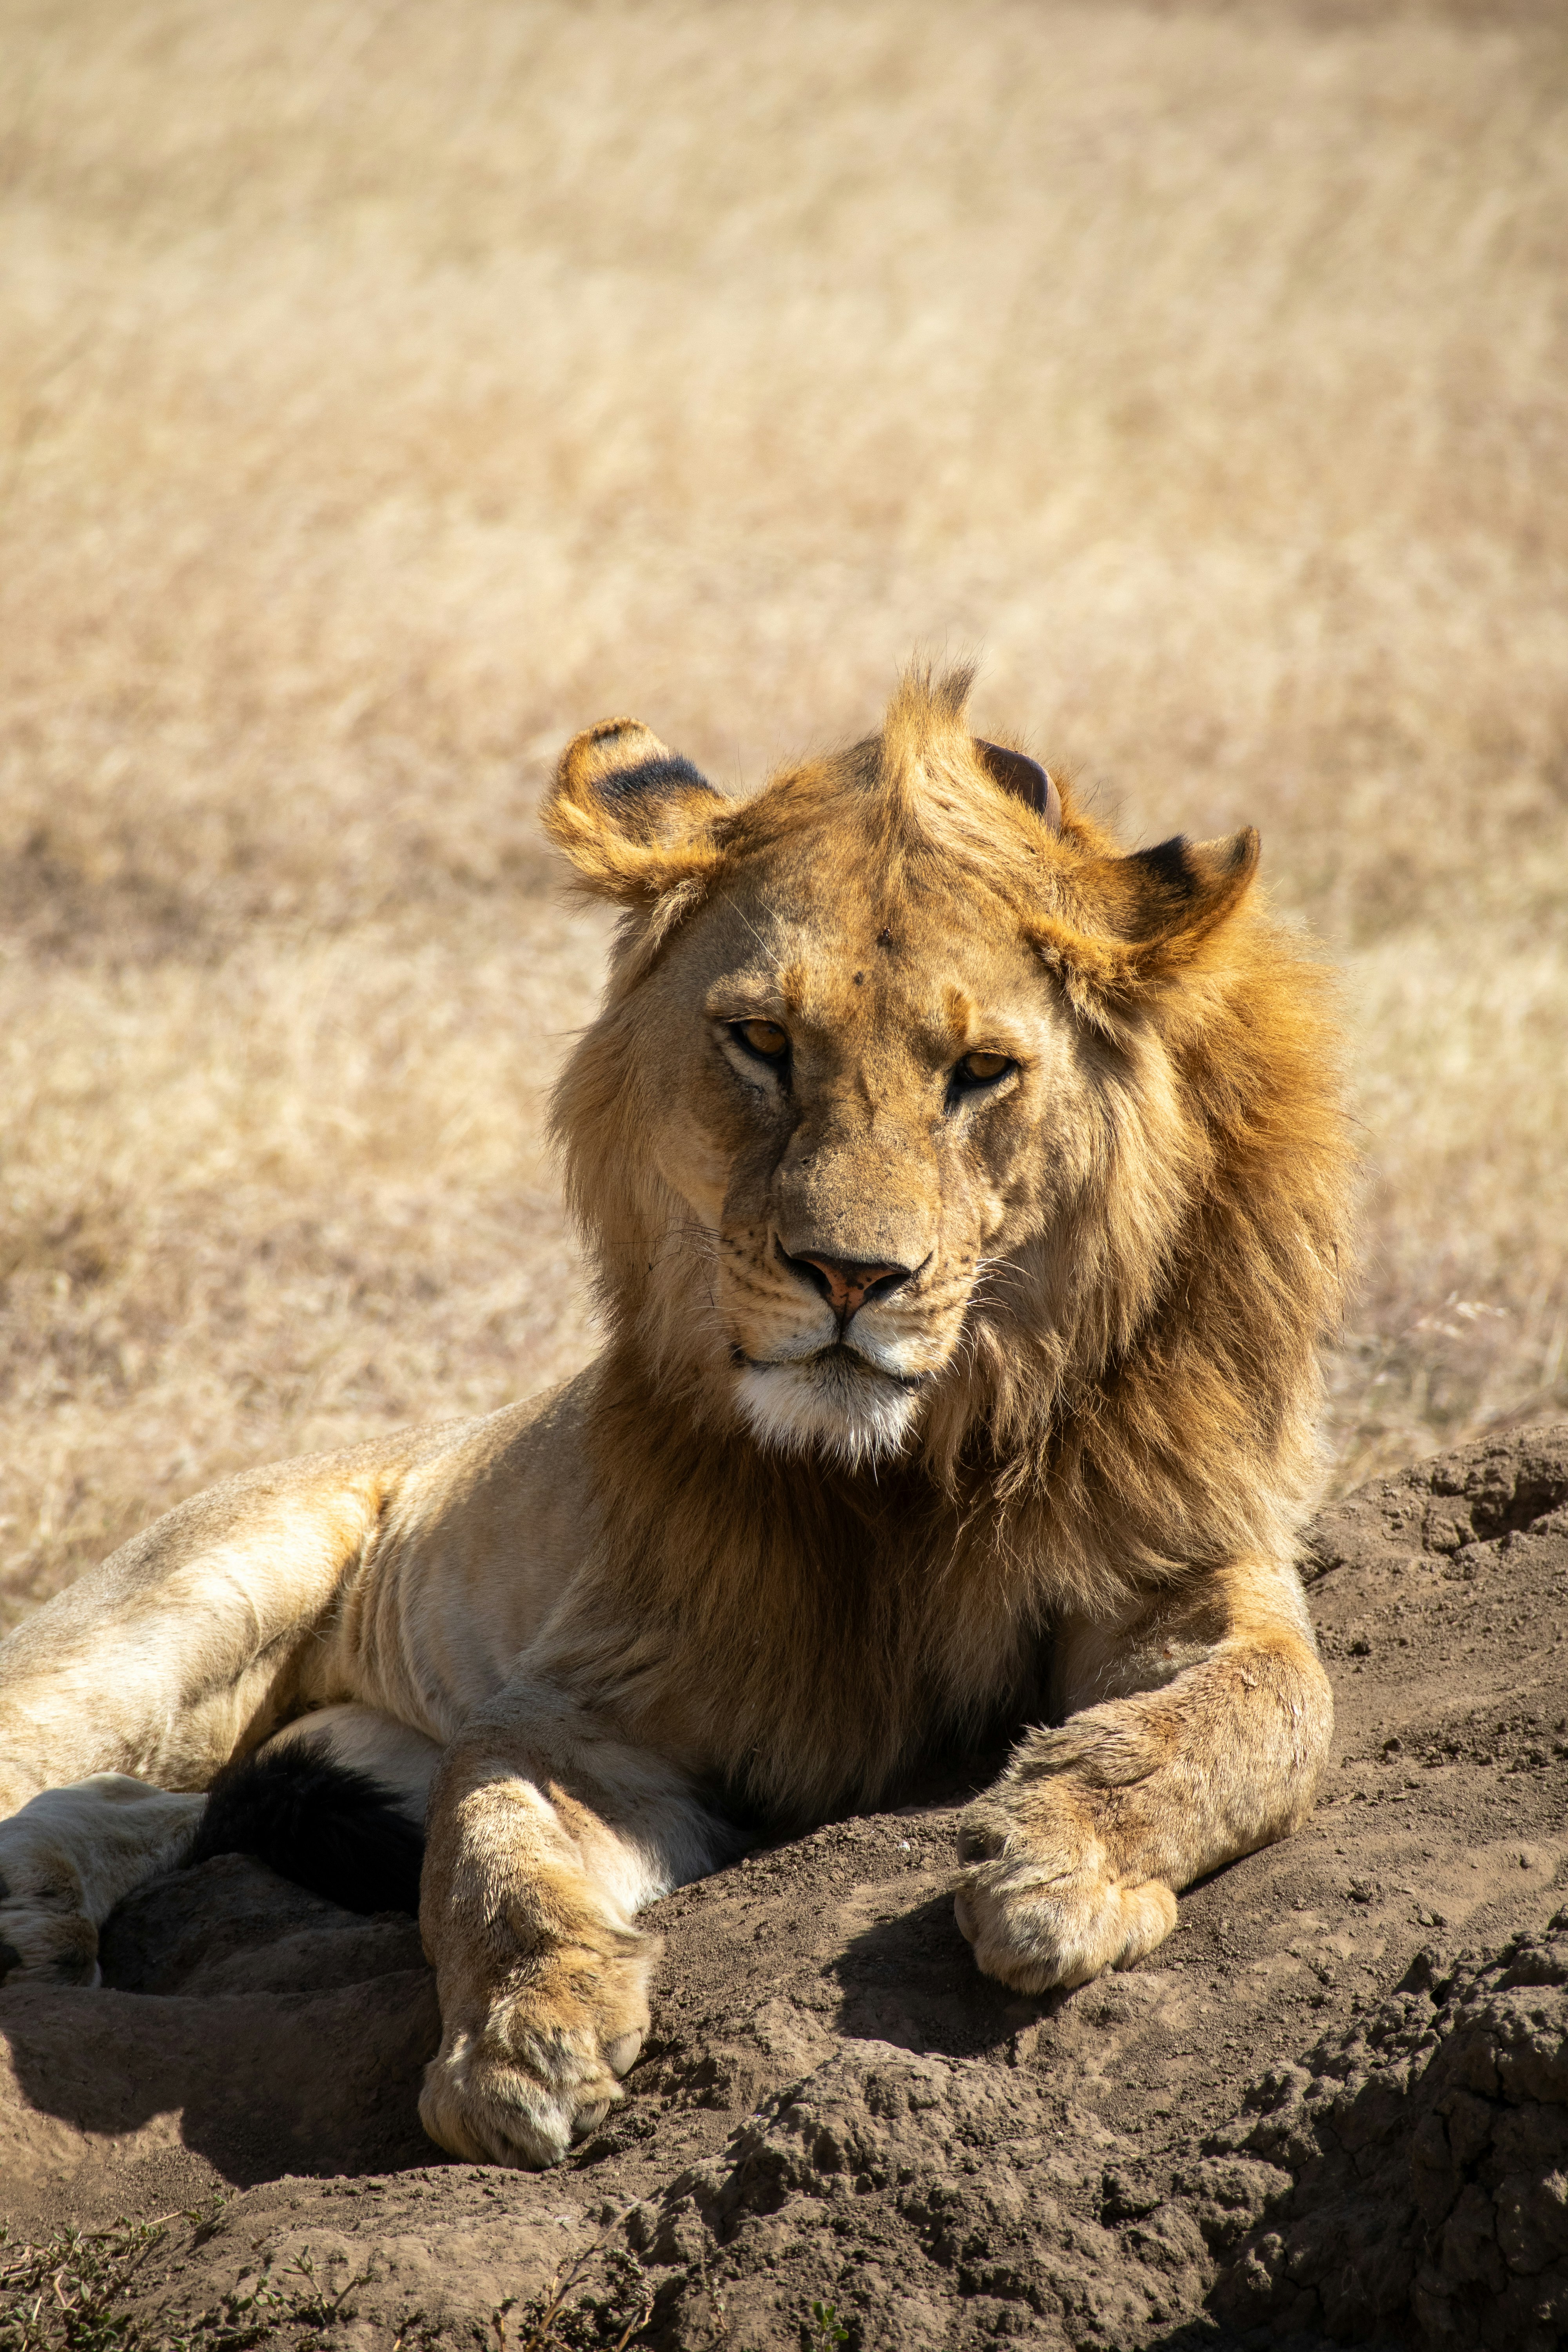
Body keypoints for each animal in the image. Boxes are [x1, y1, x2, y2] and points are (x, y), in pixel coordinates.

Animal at [0, 666, 1350, 2169]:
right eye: (761, 1043)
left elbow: (1264, 1708)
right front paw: (519, 2040)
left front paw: (1061, 1860)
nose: (850, 1276)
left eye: (980, 1071)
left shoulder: (1190, 1568)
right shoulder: (594, 1698)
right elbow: (487, 1840)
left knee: (172, 1807)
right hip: (178, 1610)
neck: (897, 1480)